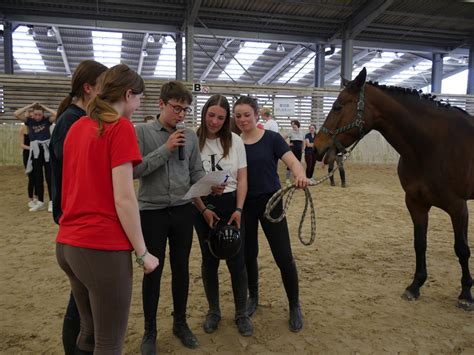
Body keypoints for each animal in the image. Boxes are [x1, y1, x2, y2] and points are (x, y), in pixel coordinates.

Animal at [314, 67, 474, 312]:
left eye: (338, 106)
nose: (317, 147)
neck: (432, 147)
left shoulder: (458, 207)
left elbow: (462, 249)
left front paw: (466, 293)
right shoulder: (416, 203)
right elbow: (420, 244)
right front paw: (415, 285)